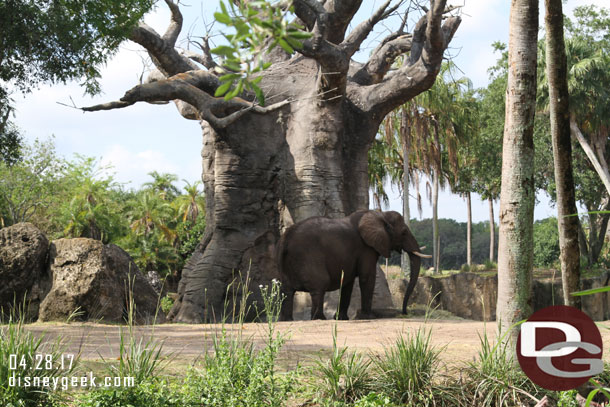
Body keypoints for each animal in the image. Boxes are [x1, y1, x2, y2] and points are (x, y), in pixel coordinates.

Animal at [276, 210, 428, 322]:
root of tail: (286, 238)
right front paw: (368, 317)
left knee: (287, 290)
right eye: (403, 232)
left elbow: (347, 282)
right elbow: (367, 277)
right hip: (309, 256)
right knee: (319, 285)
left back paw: (287, 320)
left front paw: (342, 318)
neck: (380, 215)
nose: (405, 312)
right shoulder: (366, 249)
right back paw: (319, 318)